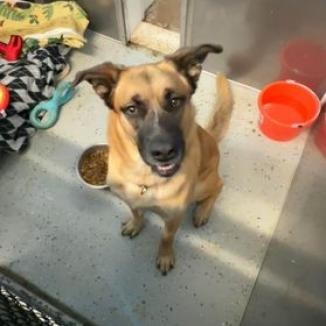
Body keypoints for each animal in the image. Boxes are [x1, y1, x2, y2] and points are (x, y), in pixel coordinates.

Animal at [73, 44, 233, 276]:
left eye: (175, 101)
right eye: (131, 109)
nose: (164, 152)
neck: (145, 179)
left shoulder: (174, 217)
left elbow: (166, 237)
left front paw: (165, 256)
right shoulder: (131, 200)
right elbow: (136, 212)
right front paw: (135, 224)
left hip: (202, 185)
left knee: (219, 186)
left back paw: (202, 211)